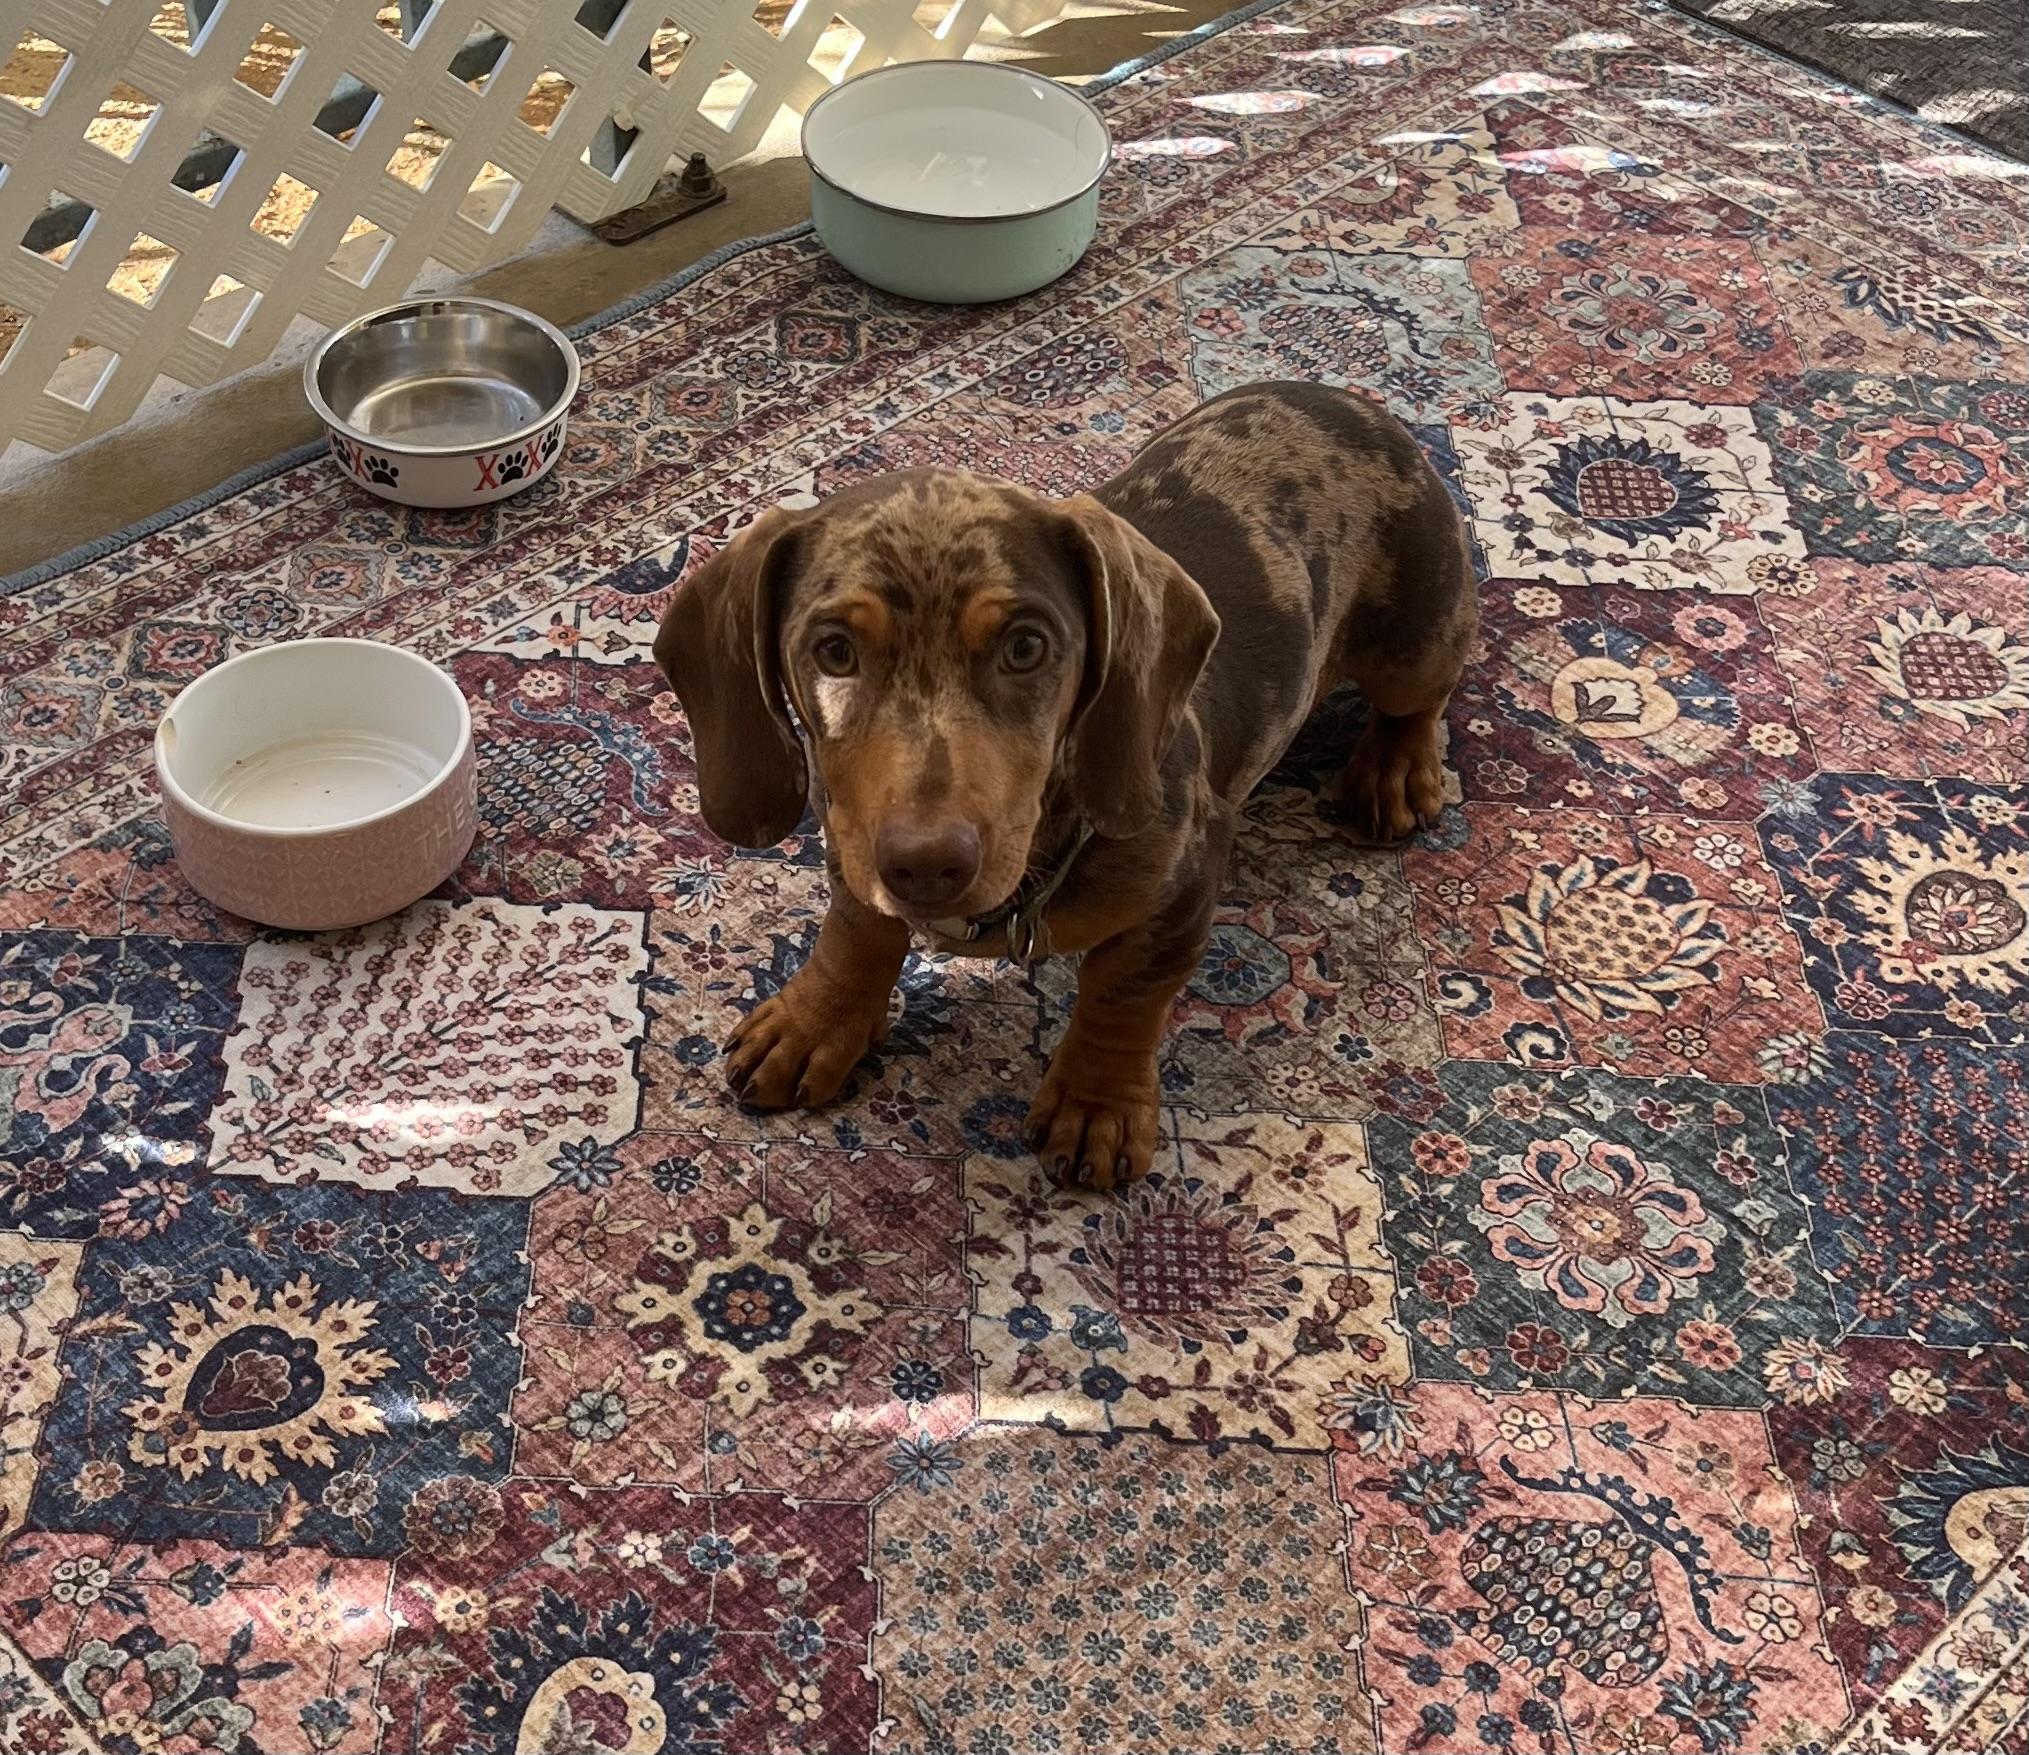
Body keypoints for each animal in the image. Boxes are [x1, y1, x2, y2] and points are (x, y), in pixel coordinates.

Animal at [655, 380, 1477, 1187]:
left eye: (1025, 647)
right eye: (833, 651)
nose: (926, 865)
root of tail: (1355, 405)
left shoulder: (1180, 890)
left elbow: (1122, 995)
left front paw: (1096, 1102)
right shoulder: (850, 839)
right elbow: (857, 932)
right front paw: (815, 1022)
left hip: (1412, 647)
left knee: (1423, 698)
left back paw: (1395, 769)